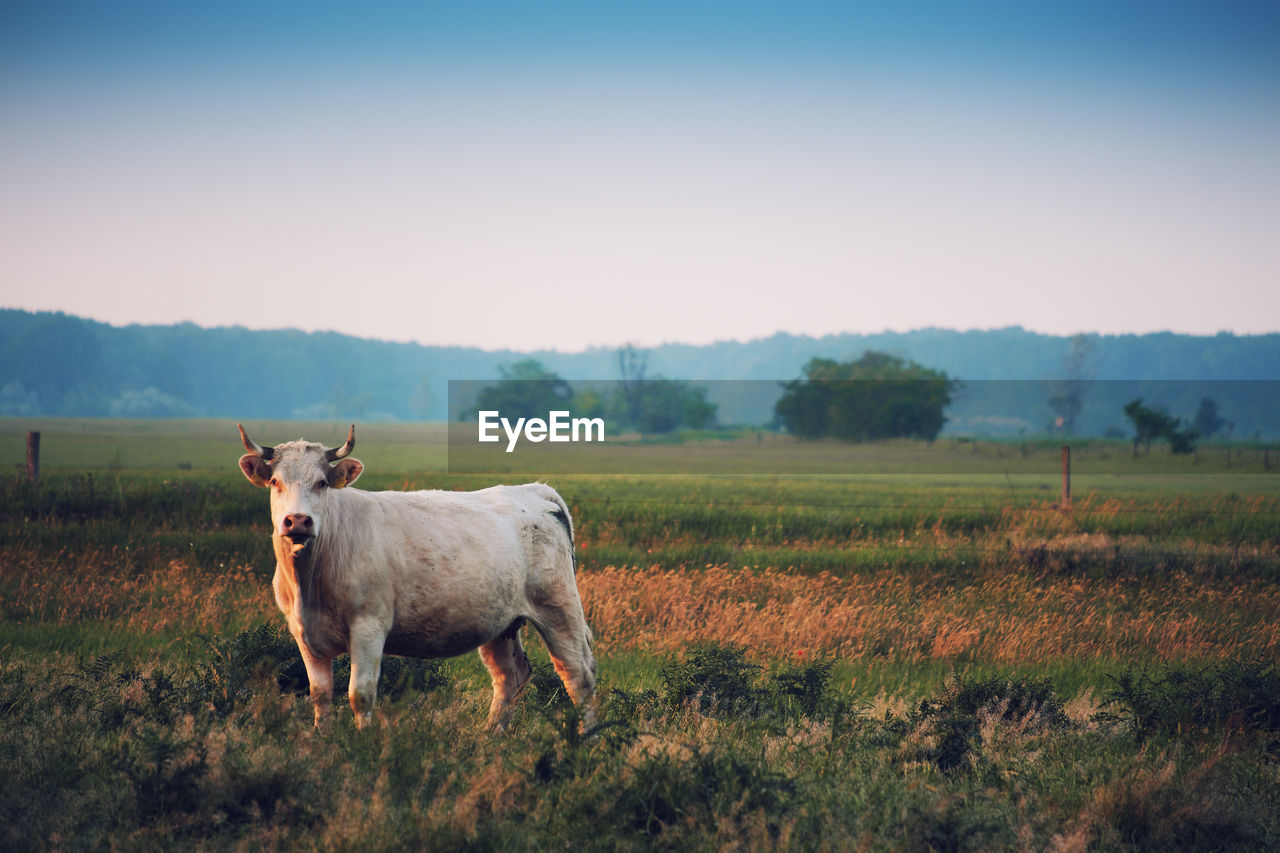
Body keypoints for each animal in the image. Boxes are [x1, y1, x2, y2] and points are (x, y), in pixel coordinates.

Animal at [235, 422, 593, 727]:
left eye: (322, 483)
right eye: (275, 482)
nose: (298, 520)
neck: (309, 580)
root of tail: (534, 491)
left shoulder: (368, 627)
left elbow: (360, 695)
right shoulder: (303, 634)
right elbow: (320, 696)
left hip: (559, 607)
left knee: (579, 676)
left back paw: (586, 742)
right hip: (501, 622)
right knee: (510, 676)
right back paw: (490, 737)